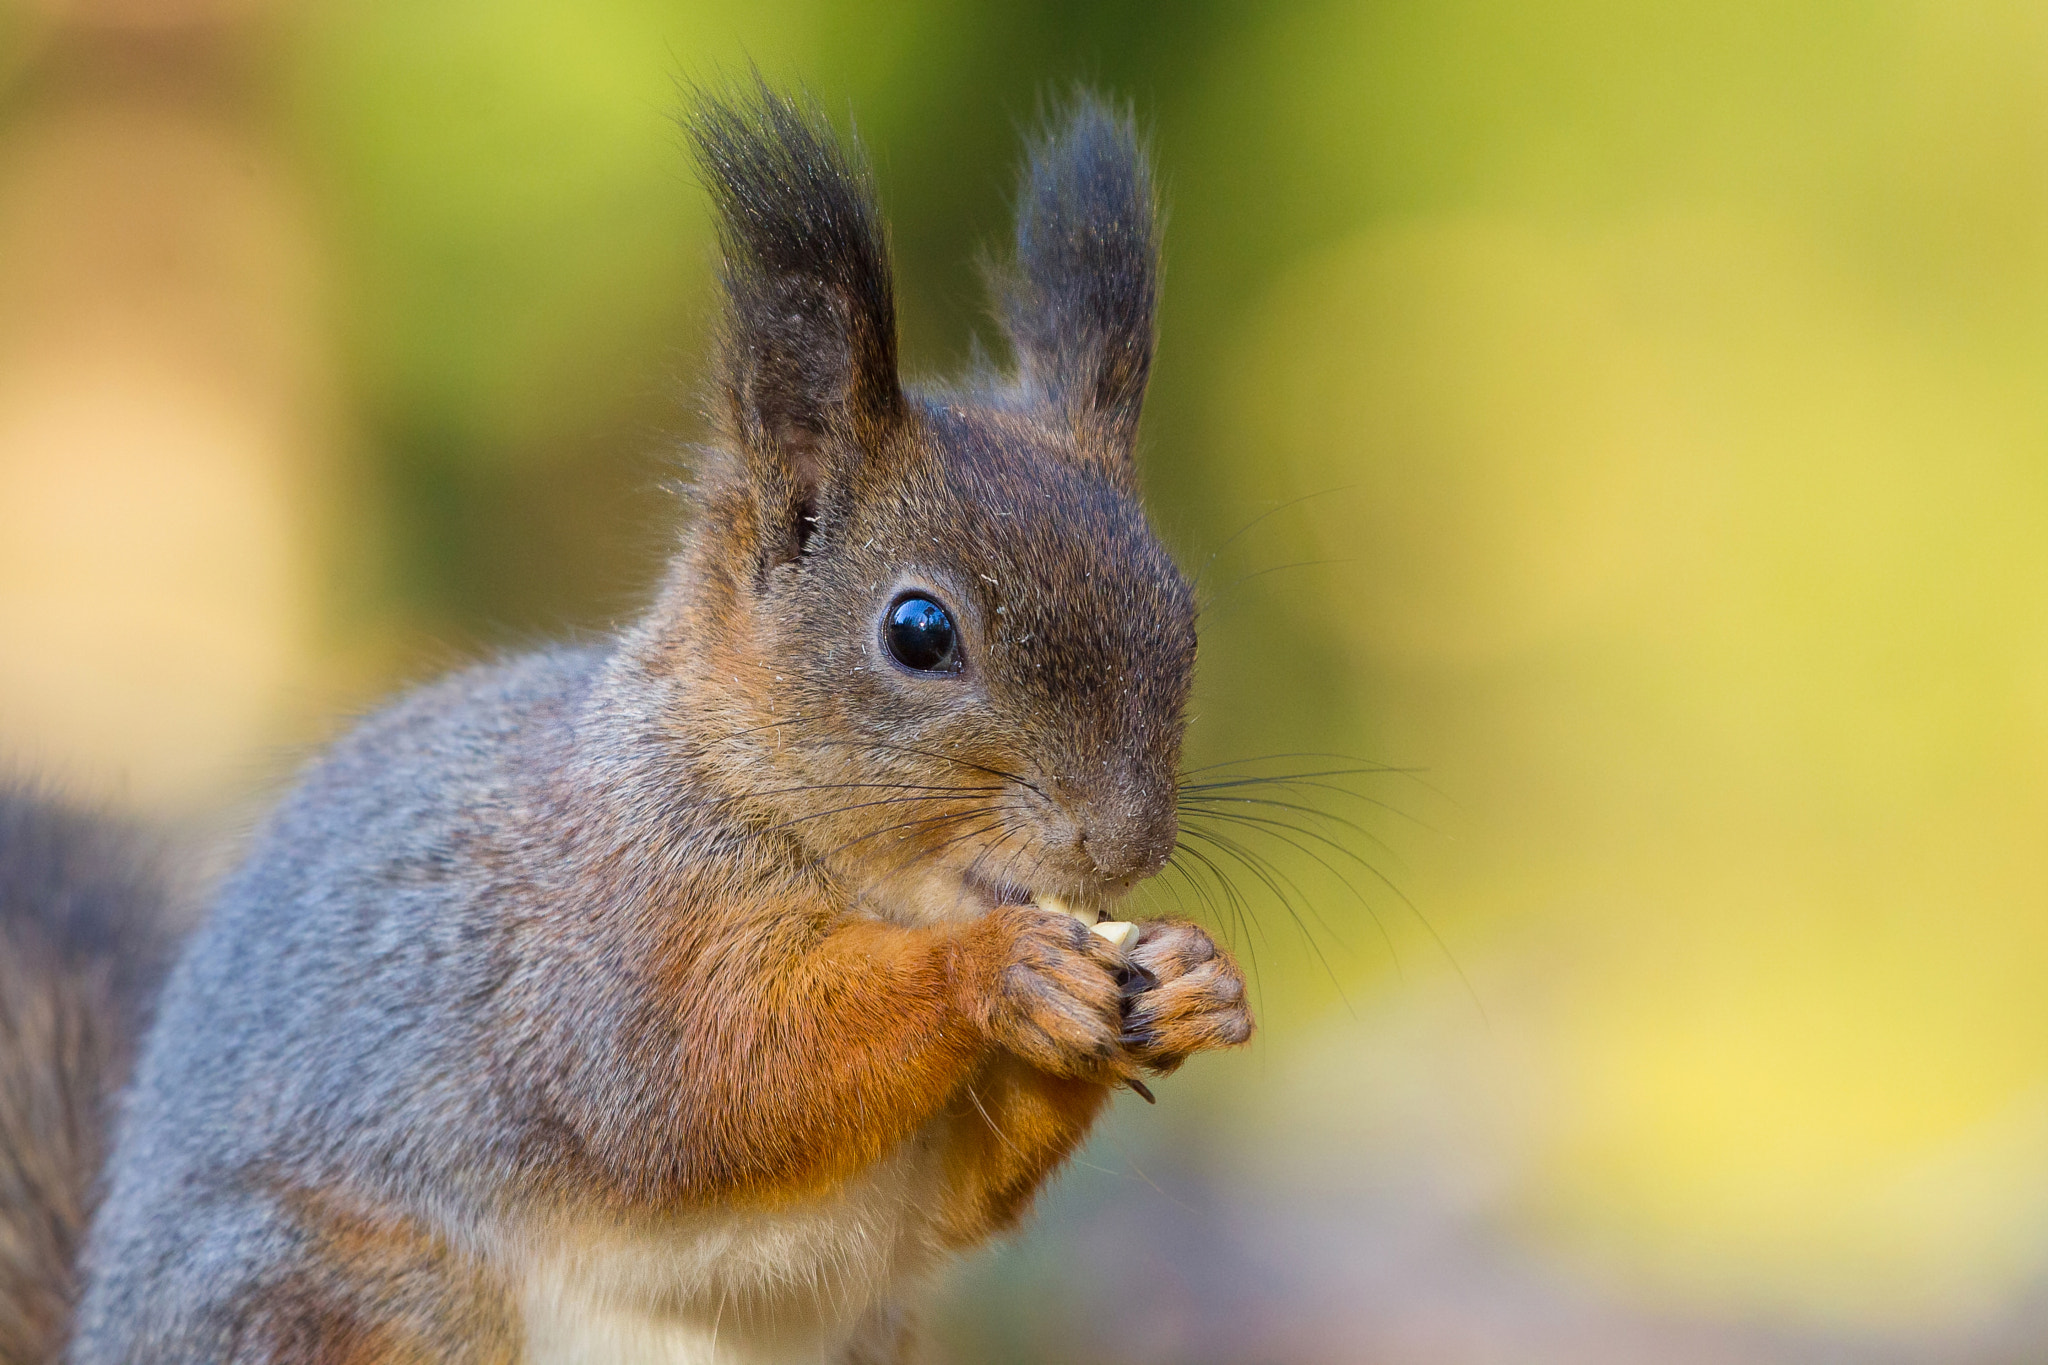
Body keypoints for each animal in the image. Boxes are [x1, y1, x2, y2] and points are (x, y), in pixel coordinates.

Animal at [0, 81, 1254, 1364]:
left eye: (1182, 613)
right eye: (917, 631)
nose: (1122, 843)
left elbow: (962, 1191)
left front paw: (1192, 978)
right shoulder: (599, 944)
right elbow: (707, 1079)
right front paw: (999, 967)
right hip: (337, 1296)